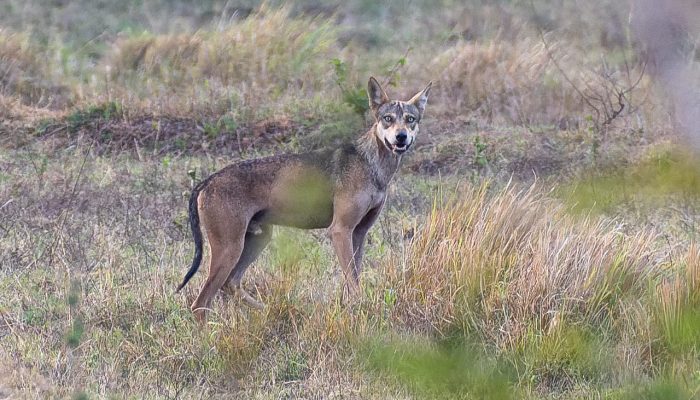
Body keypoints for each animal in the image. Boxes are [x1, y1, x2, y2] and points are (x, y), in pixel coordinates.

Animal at [177, 77, 432, 321]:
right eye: (388, 118)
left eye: (410, 119)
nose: (401, 137)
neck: (372, 164)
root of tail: (207, 180)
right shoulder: (340, 230)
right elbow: (353, 283)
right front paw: (363, 311)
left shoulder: (359, 232)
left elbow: (352, 279)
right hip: (230, 249)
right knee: (200, 303)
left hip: (256, 241)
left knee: (230, 284)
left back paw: (269, 310)